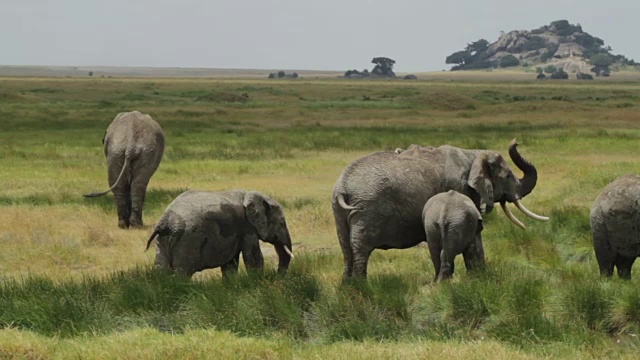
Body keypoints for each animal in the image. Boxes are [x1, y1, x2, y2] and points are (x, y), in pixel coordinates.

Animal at [144, 190, 294, 278]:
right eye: (282, 223)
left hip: (163, 240)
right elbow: (253, 257)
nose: (277, 275)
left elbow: (230, 262)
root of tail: (165, 221)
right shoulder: (247, 227)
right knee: (182, 272)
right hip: (187, 240)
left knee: (161, 269)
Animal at [332, 139, 548, 278]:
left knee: (346, 249)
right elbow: (474, 239)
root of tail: (343, 185)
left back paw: (348, 288)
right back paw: (362, 287)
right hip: (366, 210)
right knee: (361, 250)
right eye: (508, 177)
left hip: (339, 210)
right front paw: (480, 280)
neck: (473, 153)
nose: (516, 142)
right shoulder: (461, 188)